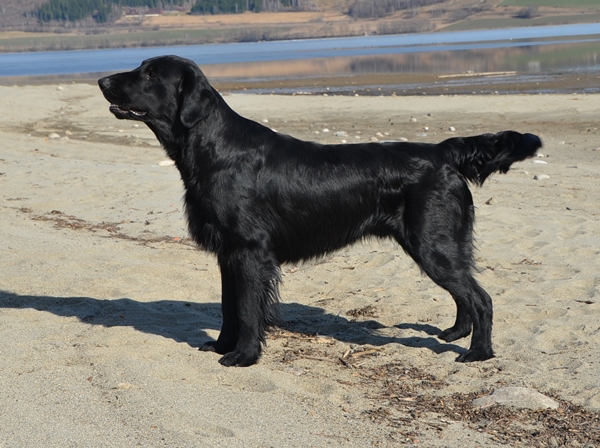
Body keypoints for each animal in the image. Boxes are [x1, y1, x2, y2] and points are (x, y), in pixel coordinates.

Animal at [97, 54, 540, 366]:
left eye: (150, 75)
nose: (101, 80)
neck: (213, 147)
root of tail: (441, 152)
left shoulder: (249, 251)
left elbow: (246, 310)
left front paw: (243, 357)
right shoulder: (228, 253)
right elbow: (228, 308)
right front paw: (222, 346)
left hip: (434, 245)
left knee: (481, 298)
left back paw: (477, 353)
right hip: (439, 246)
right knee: (466, 296)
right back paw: (454, 335)